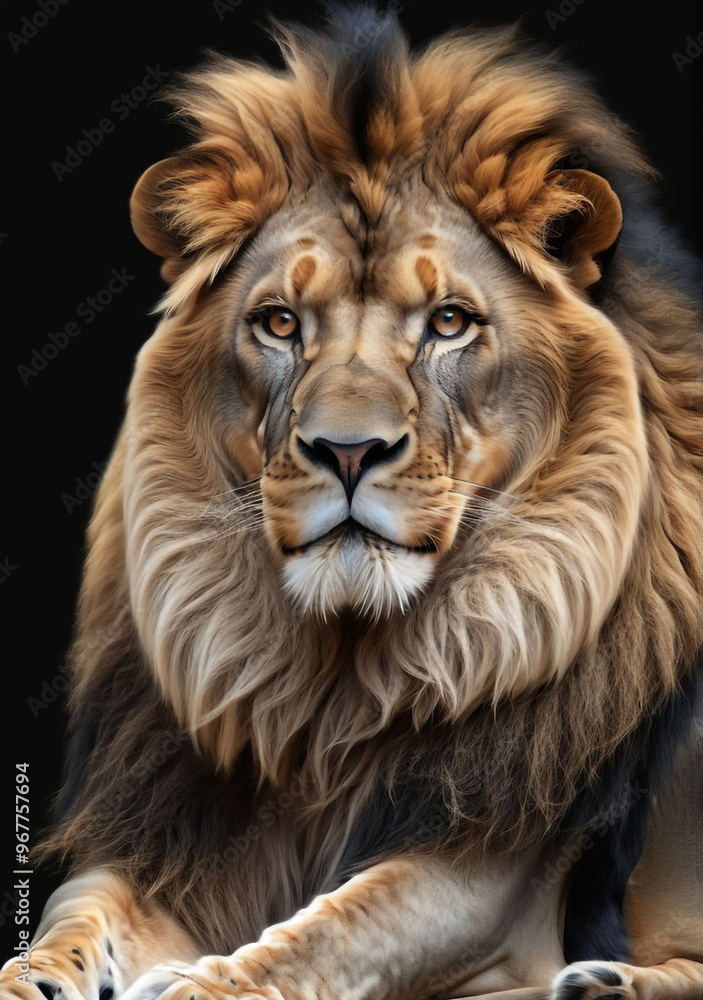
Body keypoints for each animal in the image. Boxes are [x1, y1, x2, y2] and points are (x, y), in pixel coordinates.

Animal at [3, 8, 702, 1000]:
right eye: (279, 322)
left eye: (448, 322)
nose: (346, 450)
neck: (331, 694)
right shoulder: (169, 833)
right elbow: (78, 908)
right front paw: (35, 975)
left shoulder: (488, 873)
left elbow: (332, 929)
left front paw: (199, 984)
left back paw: (606, 979)